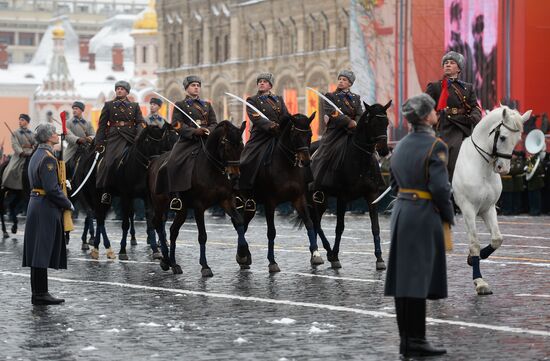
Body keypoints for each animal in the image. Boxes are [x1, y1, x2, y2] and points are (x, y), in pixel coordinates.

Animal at [148, 119, 249, 274]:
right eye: (226, 147)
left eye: (242, 147)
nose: (235, 176)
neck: (212, 170)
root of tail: (154, 161)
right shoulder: (198, 206)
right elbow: (202, 236)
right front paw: (205, 266)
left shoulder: (225, 200)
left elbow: (239, 222)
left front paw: (243, 255)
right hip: (160, 204)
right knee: (158, 224)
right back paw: (165, 259)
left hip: (182, 210)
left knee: (173, 231)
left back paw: (173, 263)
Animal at [452, 103, 536, 292]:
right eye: (503, 137)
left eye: (517, 139)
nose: (503, 168)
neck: (480, 167)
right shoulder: (468, 209)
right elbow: (474, 243)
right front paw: (480, 281)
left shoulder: (488, 209)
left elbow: (497, 239)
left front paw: (472, 259)